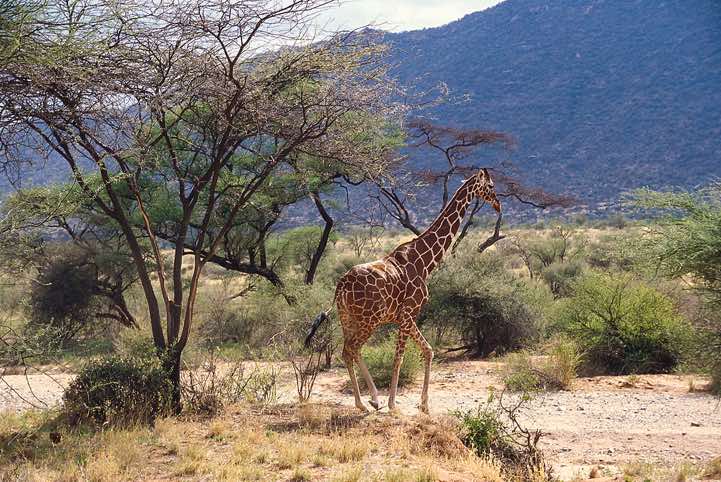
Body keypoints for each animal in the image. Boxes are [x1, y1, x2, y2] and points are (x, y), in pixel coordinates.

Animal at [305, 168, 501, 414]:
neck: (425, 261)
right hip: (369, 319)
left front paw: (424, 405)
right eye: (491, 186)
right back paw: (365, 402)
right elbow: (399, 356)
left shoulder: (404, 316)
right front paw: (393, 404)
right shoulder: (409, 312)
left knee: (348, 351)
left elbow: (428, 350)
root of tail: (340, 285)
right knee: (351, 348)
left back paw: (370, 400)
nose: (498, 205)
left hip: (347, 318)